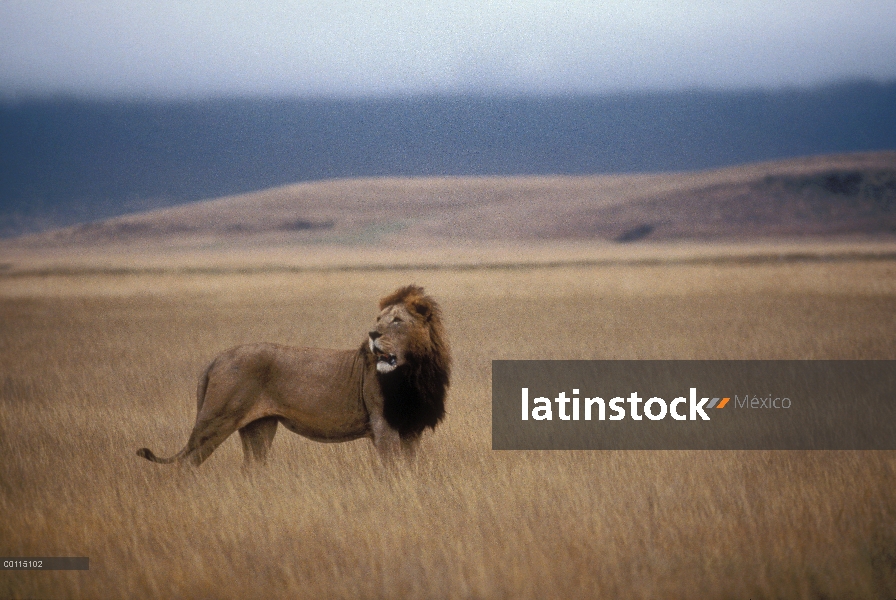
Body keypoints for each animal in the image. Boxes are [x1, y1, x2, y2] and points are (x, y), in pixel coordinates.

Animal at [136, 286, 448, 468]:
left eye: (396, 320)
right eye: (378, 320)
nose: (372, 334)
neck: (417, 371)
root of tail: (217, 357)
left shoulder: (411, 430)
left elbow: (410, 469)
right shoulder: (383, 427)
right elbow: (392, 472)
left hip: (258, 428)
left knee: (252, 467)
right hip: (216, 420)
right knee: (184, 465)